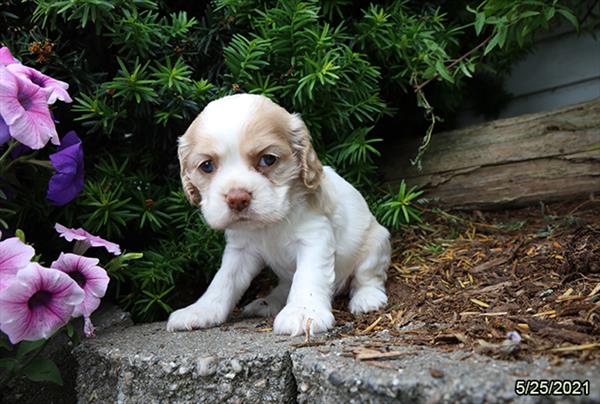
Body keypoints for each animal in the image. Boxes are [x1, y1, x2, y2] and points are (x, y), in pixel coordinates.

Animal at [165, 94, 390, 334]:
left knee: (368, 277)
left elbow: (308, 275)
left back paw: (367, 298)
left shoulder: (314, 237)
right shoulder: (240, 249)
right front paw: (200, 310)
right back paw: (268, 302)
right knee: (285, 286)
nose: (237, 198)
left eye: (268, 159)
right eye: (207, 166)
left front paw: (303, 312)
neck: (268, 224)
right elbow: (224, 279)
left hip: (376, 243)